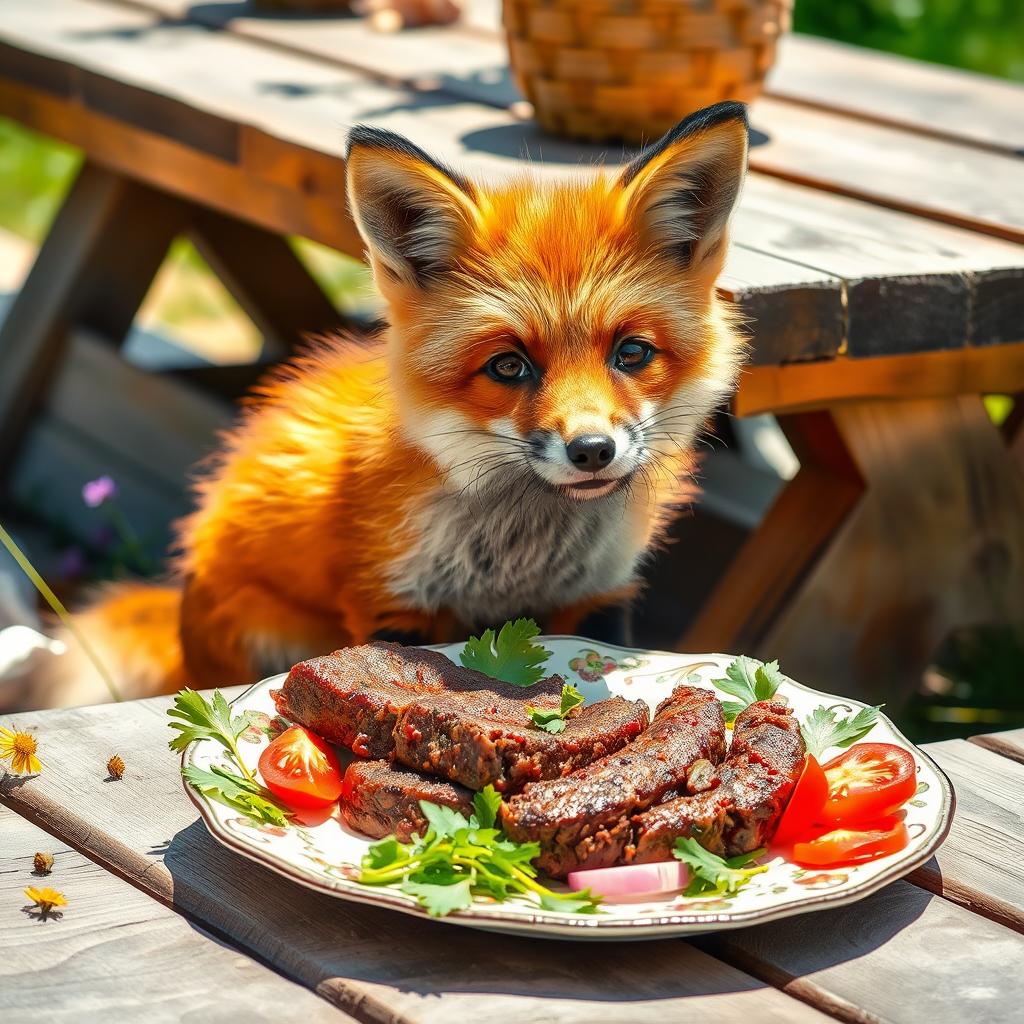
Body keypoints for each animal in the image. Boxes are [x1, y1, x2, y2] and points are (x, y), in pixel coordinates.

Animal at [34, 101, 753, 704]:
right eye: (509, 366)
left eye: (631, 354)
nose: (593, 450)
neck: (519, 558)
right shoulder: (393, 604)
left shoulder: (601, 595)